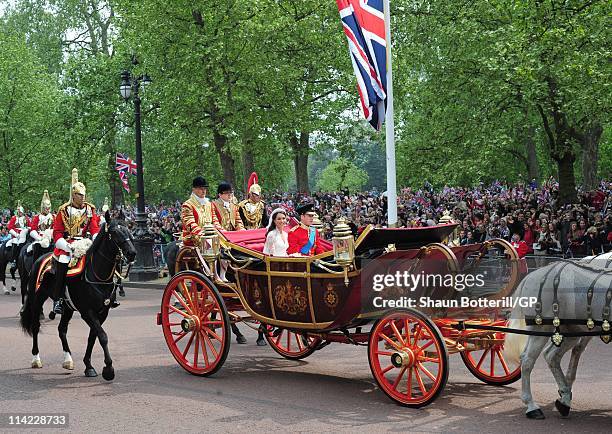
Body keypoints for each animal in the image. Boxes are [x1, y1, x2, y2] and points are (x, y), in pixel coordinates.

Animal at [20, 213, 136, 380]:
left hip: (67, 308)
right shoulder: (87, 312)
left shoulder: (102, 312)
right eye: (114, 232)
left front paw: (89, 366)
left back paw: (68, 360)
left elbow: (93, 336)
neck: (98, 276)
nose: (132, 253)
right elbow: (102, 336)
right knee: (35, 326)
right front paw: (108, 369)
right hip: (37, 300)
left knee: (62, 329)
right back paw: (36, 359)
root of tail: (41, 258)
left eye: (128, 229)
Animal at [506, 253, 612, 418]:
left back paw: (565, 398)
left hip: (571, 330)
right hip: (542, 328)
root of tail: (534, 274)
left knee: (552, 355)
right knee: (528, 360)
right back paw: (531, 405)